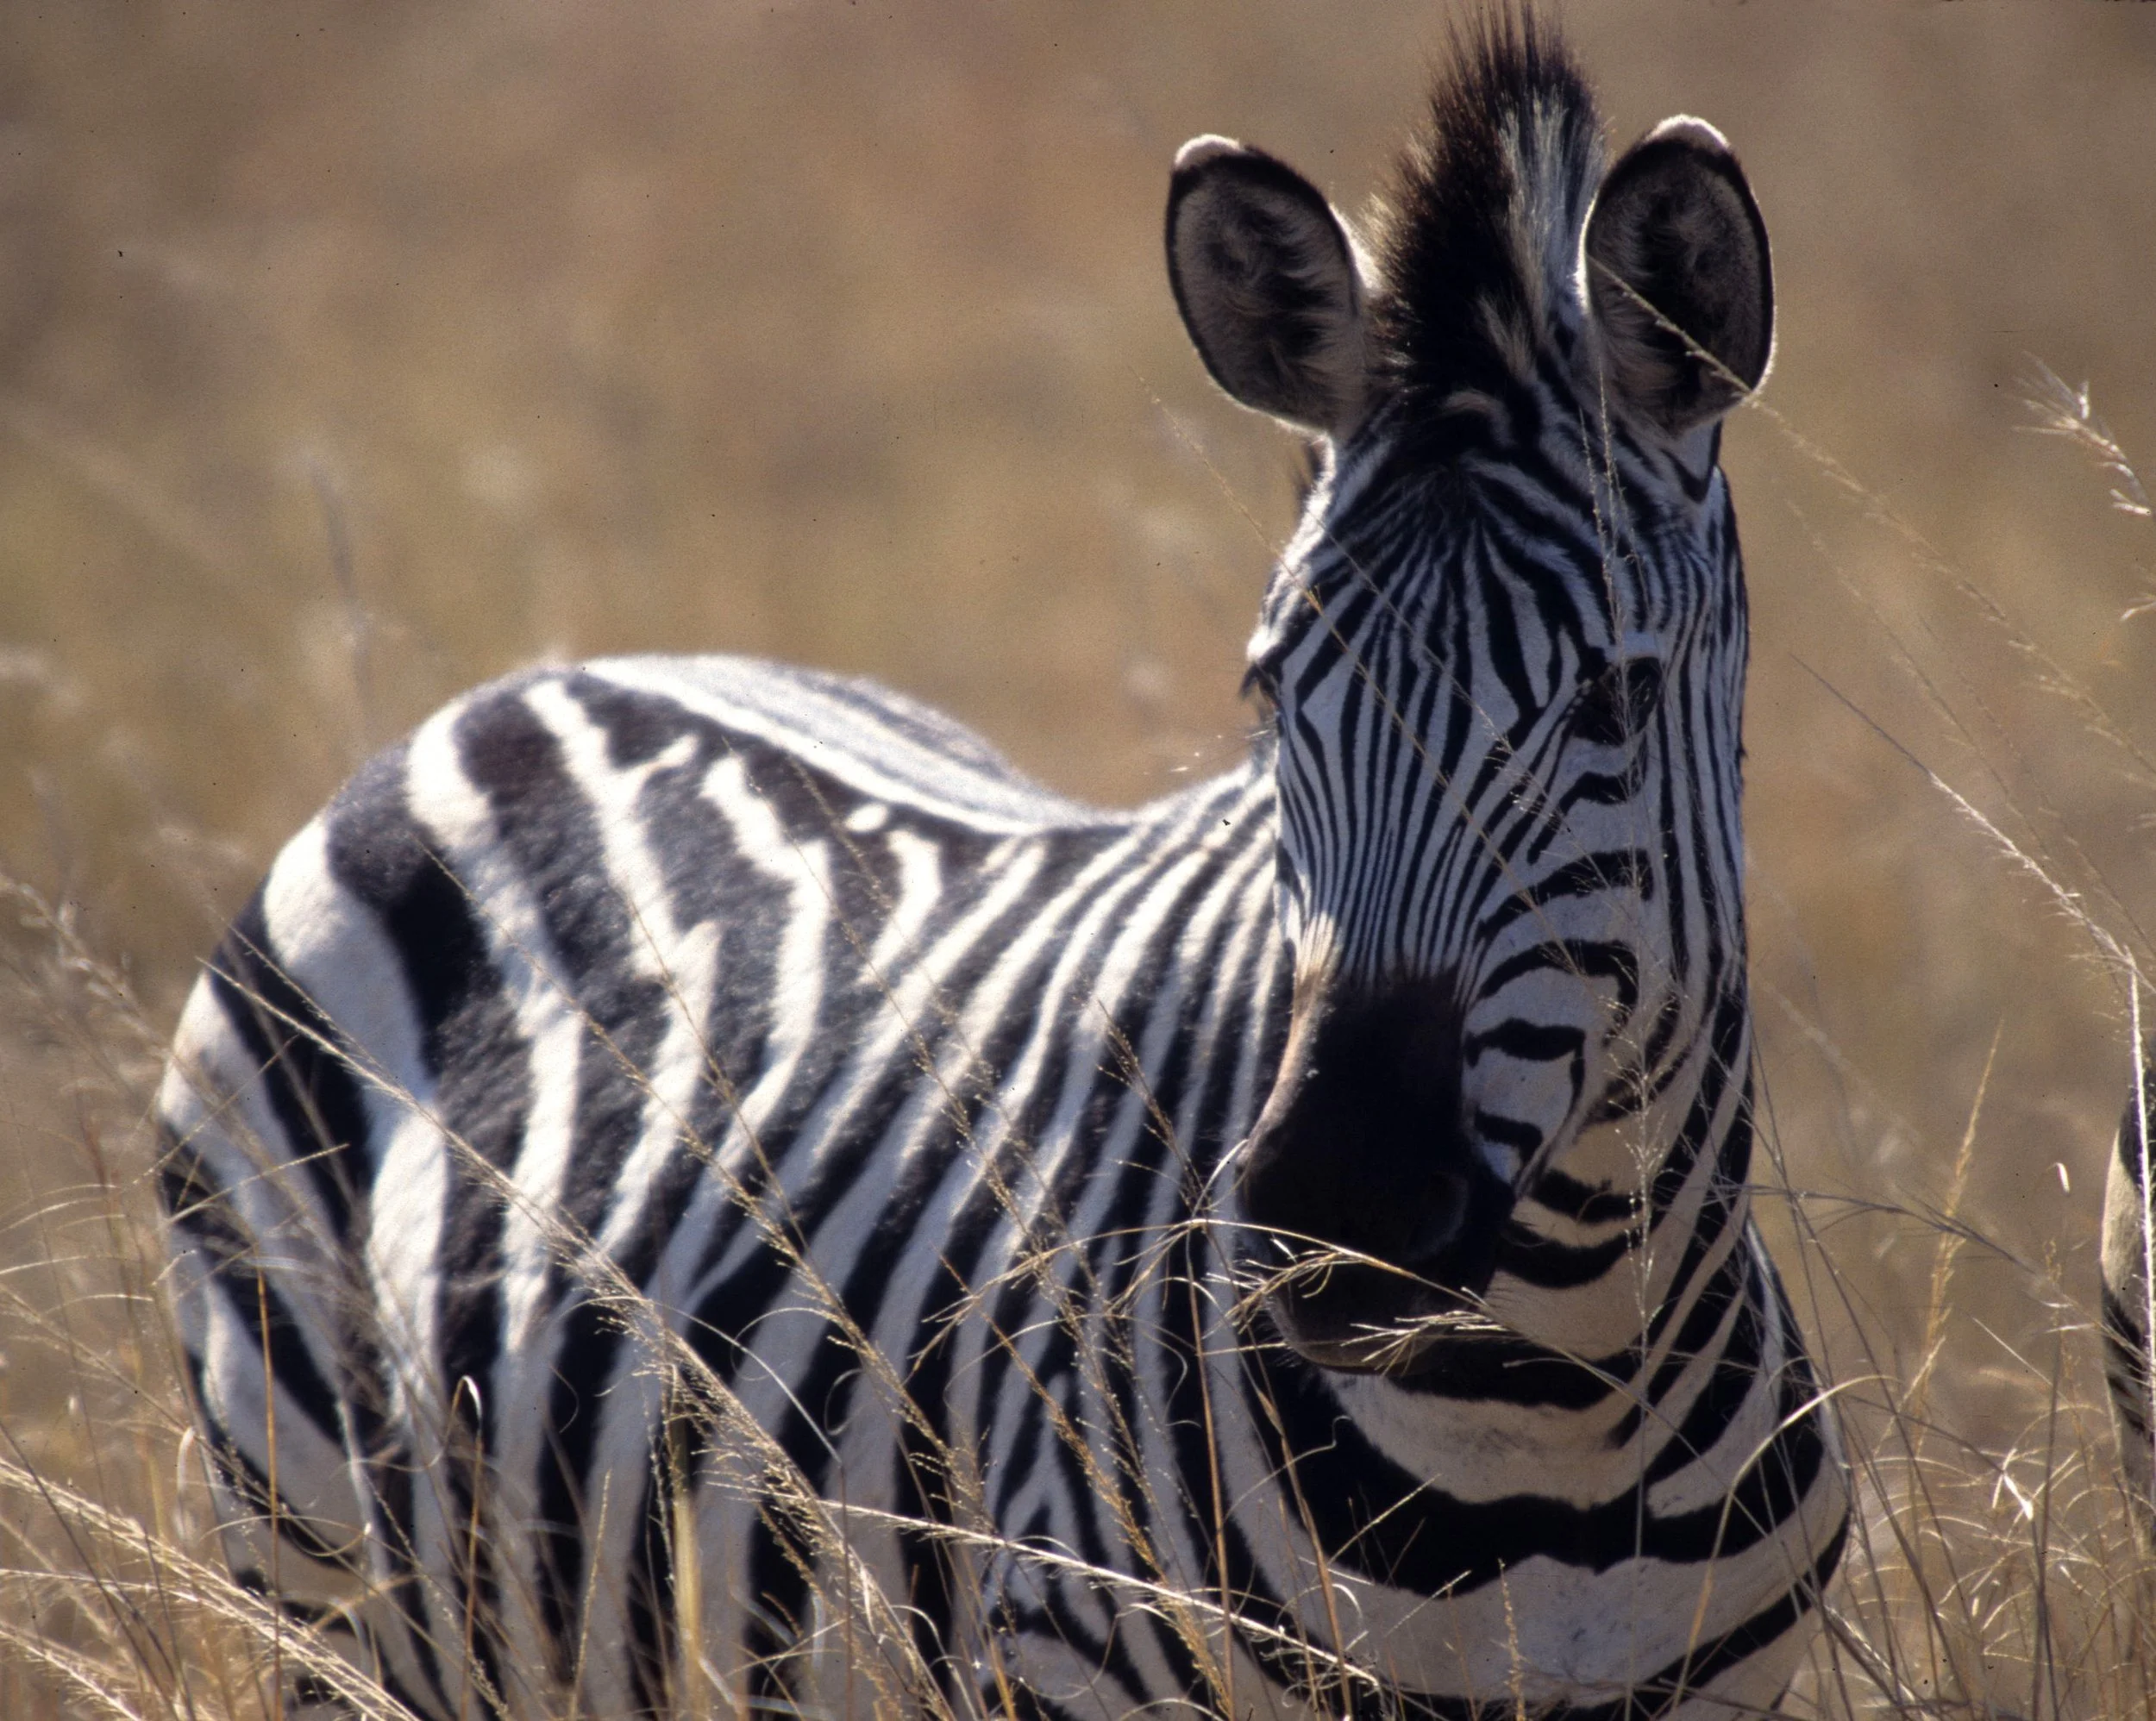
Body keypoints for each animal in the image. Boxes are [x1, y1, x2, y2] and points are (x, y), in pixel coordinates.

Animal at [156, 15, 1850, 1719]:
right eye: (1271, 694)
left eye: (1612, 700)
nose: (1329, 1219)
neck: (1552, 1396)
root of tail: (528, 687)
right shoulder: (1063, 1653)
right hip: (307, 1548)